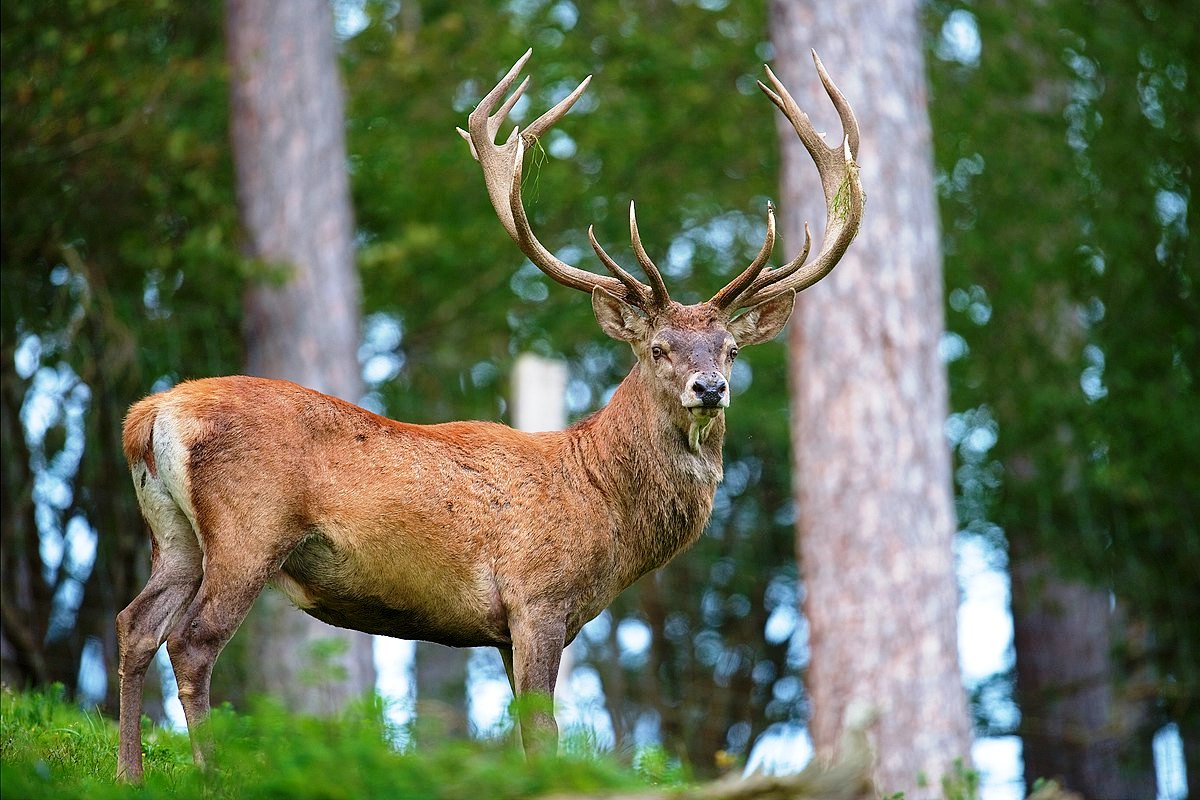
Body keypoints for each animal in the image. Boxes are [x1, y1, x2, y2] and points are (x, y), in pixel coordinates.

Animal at [114, 47, 864, 777]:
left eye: (732, 349)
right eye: (658, 348)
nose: (709, 387)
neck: (602, 502)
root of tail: (149, 415)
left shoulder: (506, 630)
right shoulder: (538, 600)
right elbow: (544, 734)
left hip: (174, 534)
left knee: (135, 625)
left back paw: (129, 774)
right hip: (250, 528)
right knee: (193, 642)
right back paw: (211, 774)